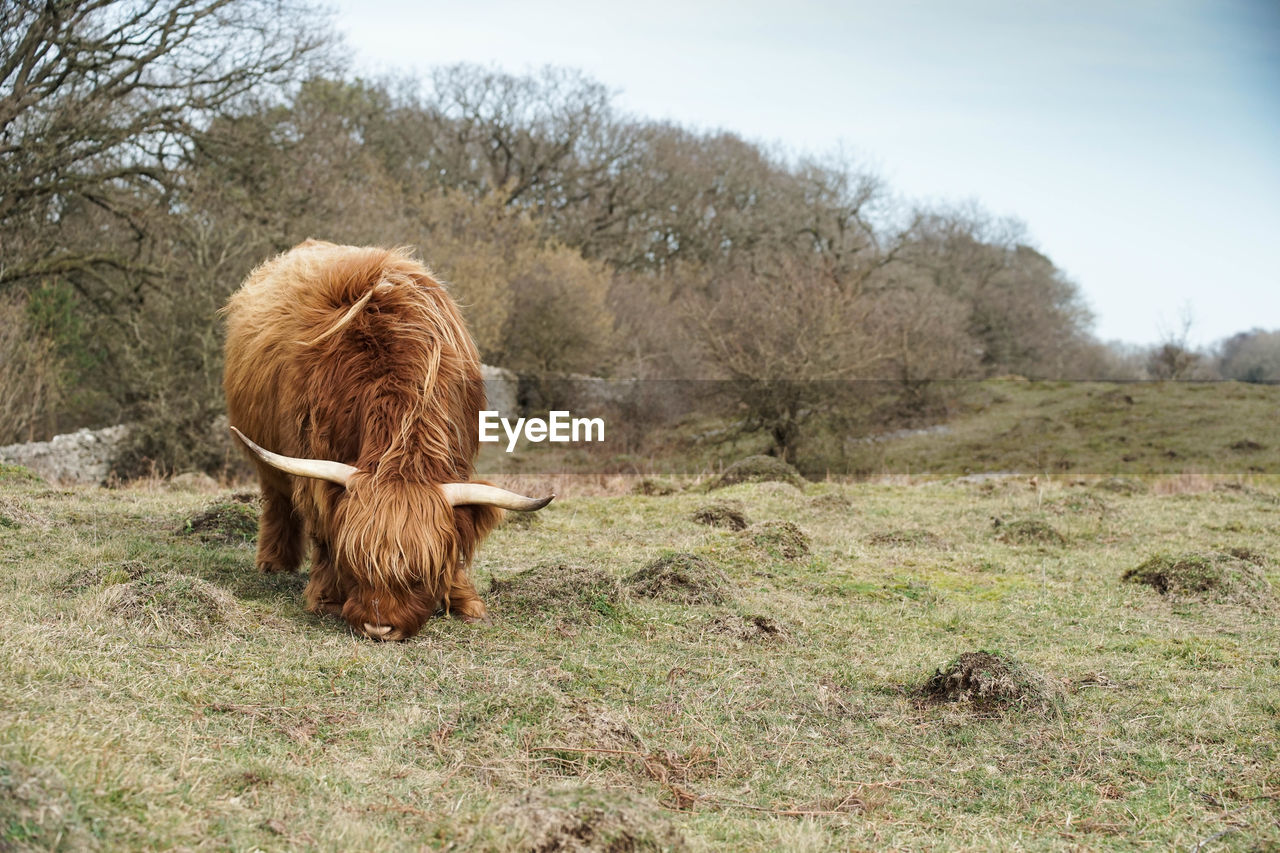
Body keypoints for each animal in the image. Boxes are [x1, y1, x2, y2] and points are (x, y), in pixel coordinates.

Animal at [221, 239, 550, 637]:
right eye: (355, 565)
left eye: (419, 576)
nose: (379, 628)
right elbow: (324, 530)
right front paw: (327, 599)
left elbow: (456, 533)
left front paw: (465, 601)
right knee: (278, 502)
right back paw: (274, 563)